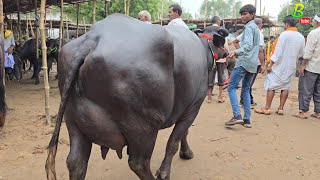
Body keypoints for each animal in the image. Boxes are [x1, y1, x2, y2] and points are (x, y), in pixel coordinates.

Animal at [45, 14, 228, 180]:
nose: (227, 53)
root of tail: (94, 38)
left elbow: (184, 133)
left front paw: (186, 152)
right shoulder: (193, 106)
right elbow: (174, 141)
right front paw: (166, 170)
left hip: (73, 121)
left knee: (76, 162)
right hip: (144, 127)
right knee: (138, 163)